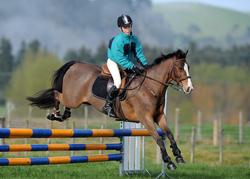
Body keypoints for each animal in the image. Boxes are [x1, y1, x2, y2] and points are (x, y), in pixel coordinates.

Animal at [27, 49, 193, 171]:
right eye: (180, 68)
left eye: (188, 67)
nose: (189, 89)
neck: (149, 87)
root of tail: (75, 65)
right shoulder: (145, 118)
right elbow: (158, 138)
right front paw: (169, 161)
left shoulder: (159, 116)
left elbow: (170, 134)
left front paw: (178, 156)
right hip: (72, 98)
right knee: (56, 94)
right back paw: (54, 115)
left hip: (75, 99)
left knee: (64, 105)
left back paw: (62, 115)